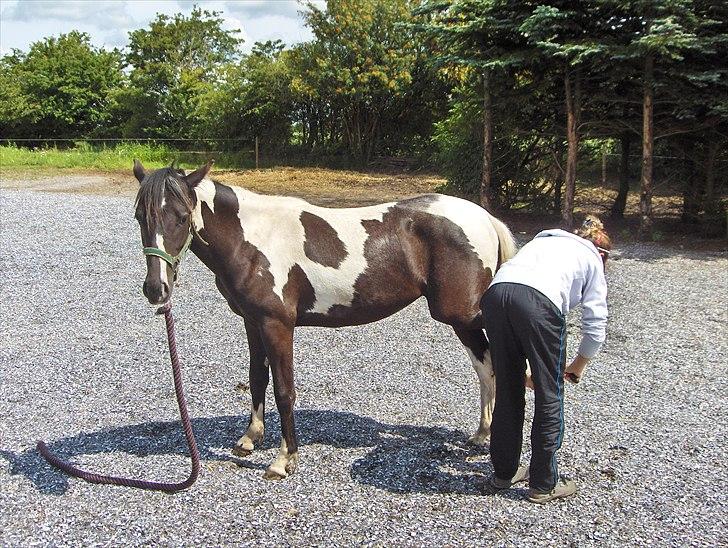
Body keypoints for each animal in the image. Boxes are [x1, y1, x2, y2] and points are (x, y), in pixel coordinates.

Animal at [132, 161, 516, 478]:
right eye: (139, 216)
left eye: (182, 216)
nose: (156, 288)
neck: (252, 240)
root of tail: (484, 218)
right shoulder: (252, 322)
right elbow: (257, 379)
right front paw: (250, 438)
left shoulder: (277, 325)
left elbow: (284, 390)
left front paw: (284, 460)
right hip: (460, 319)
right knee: (485, 365)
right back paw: (481, 435)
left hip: (461, 313)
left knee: (494, 360)